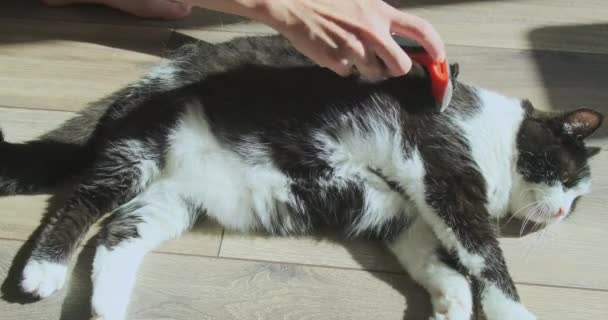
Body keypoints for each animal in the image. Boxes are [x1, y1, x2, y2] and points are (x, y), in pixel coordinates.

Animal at [1, 35, 604, 320]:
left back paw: (107, 307)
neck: (491, 132)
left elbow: (434, 260)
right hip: (144, 148)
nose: (560, 212)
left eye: (576, 202)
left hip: (171, 201)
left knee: (117, 236)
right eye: (566, 174)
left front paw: (450, 302)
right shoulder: (443, 171)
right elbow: (483, 254)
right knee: (82, 200)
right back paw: (42, 272)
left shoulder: (404, 214)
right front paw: (512, 311)